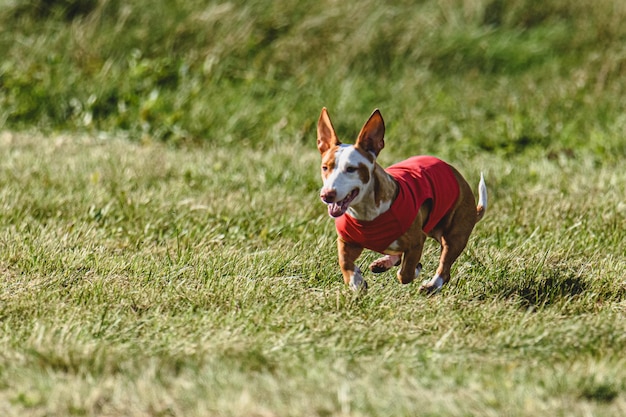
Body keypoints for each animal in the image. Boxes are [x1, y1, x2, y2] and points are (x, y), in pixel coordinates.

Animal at [314, 107, 486, 292]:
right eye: (325, 167)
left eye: (351, 169)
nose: (327, 195)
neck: (367, 214)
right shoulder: (346, 241)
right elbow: (344, 262)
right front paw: (356, 281)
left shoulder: (417, 241)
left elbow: (405, 274)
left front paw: (416, 269)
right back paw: (384, 262)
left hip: (454, 233)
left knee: (444, 268)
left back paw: (431, 285)